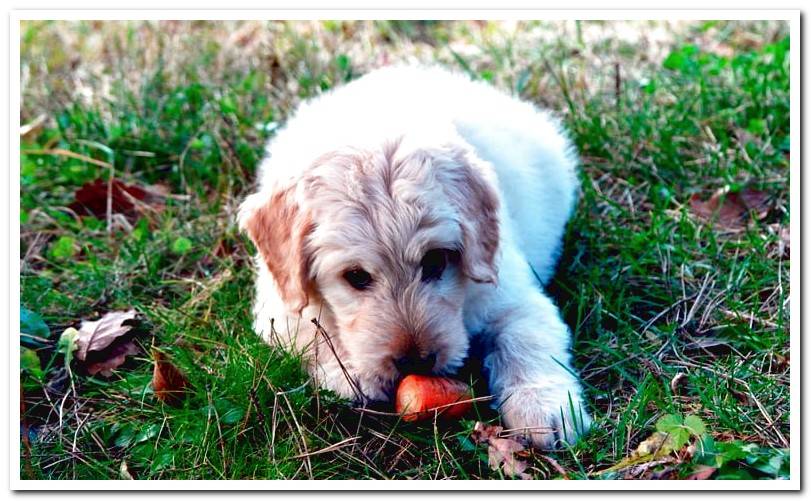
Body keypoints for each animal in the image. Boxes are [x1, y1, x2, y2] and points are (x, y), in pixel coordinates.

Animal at [238, 65, 592, 446]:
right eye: (356, 277)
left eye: (436, 261)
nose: (416, 363)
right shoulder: (278, 308)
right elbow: (311, 333)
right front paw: (350, 373)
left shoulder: (511, 295)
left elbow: (526, 339)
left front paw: (545, 408)